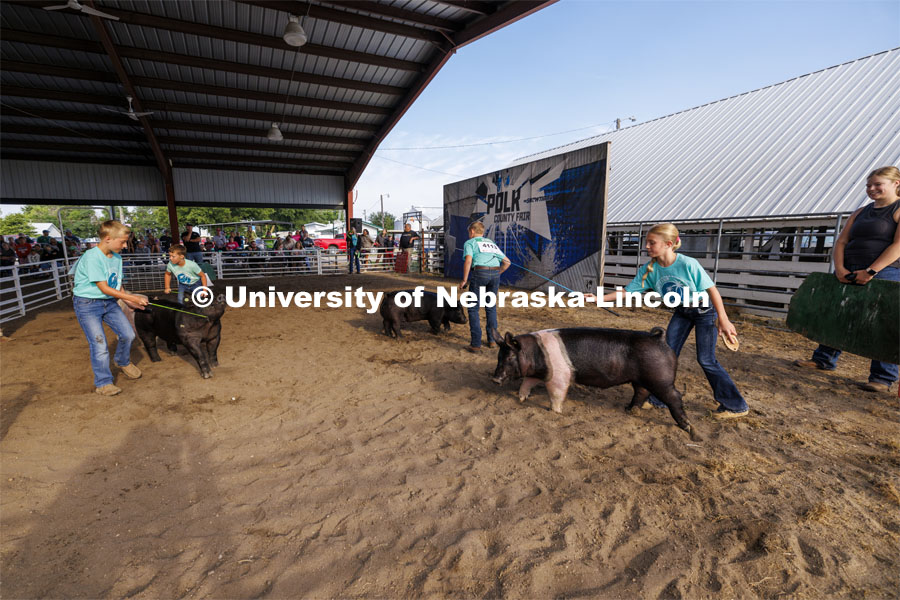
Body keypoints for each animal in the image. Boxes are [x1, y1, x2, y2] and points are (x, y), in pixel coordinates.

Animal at [488, 328, 700, 440]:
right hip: (642, 379)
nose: (495, 379)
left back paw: (688, 429)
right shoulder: (540, 373)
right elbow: (527, 382)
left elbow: (556, 393)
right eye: (498, 356)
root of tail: (660, 338)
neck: (536, 354)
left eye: (509, 357)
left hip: (661, 380)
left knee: (674, 397)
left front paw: (555, 411)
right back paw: (629, 410)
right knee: (641, 392)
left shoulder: (560, 376)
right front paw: (521, 399)